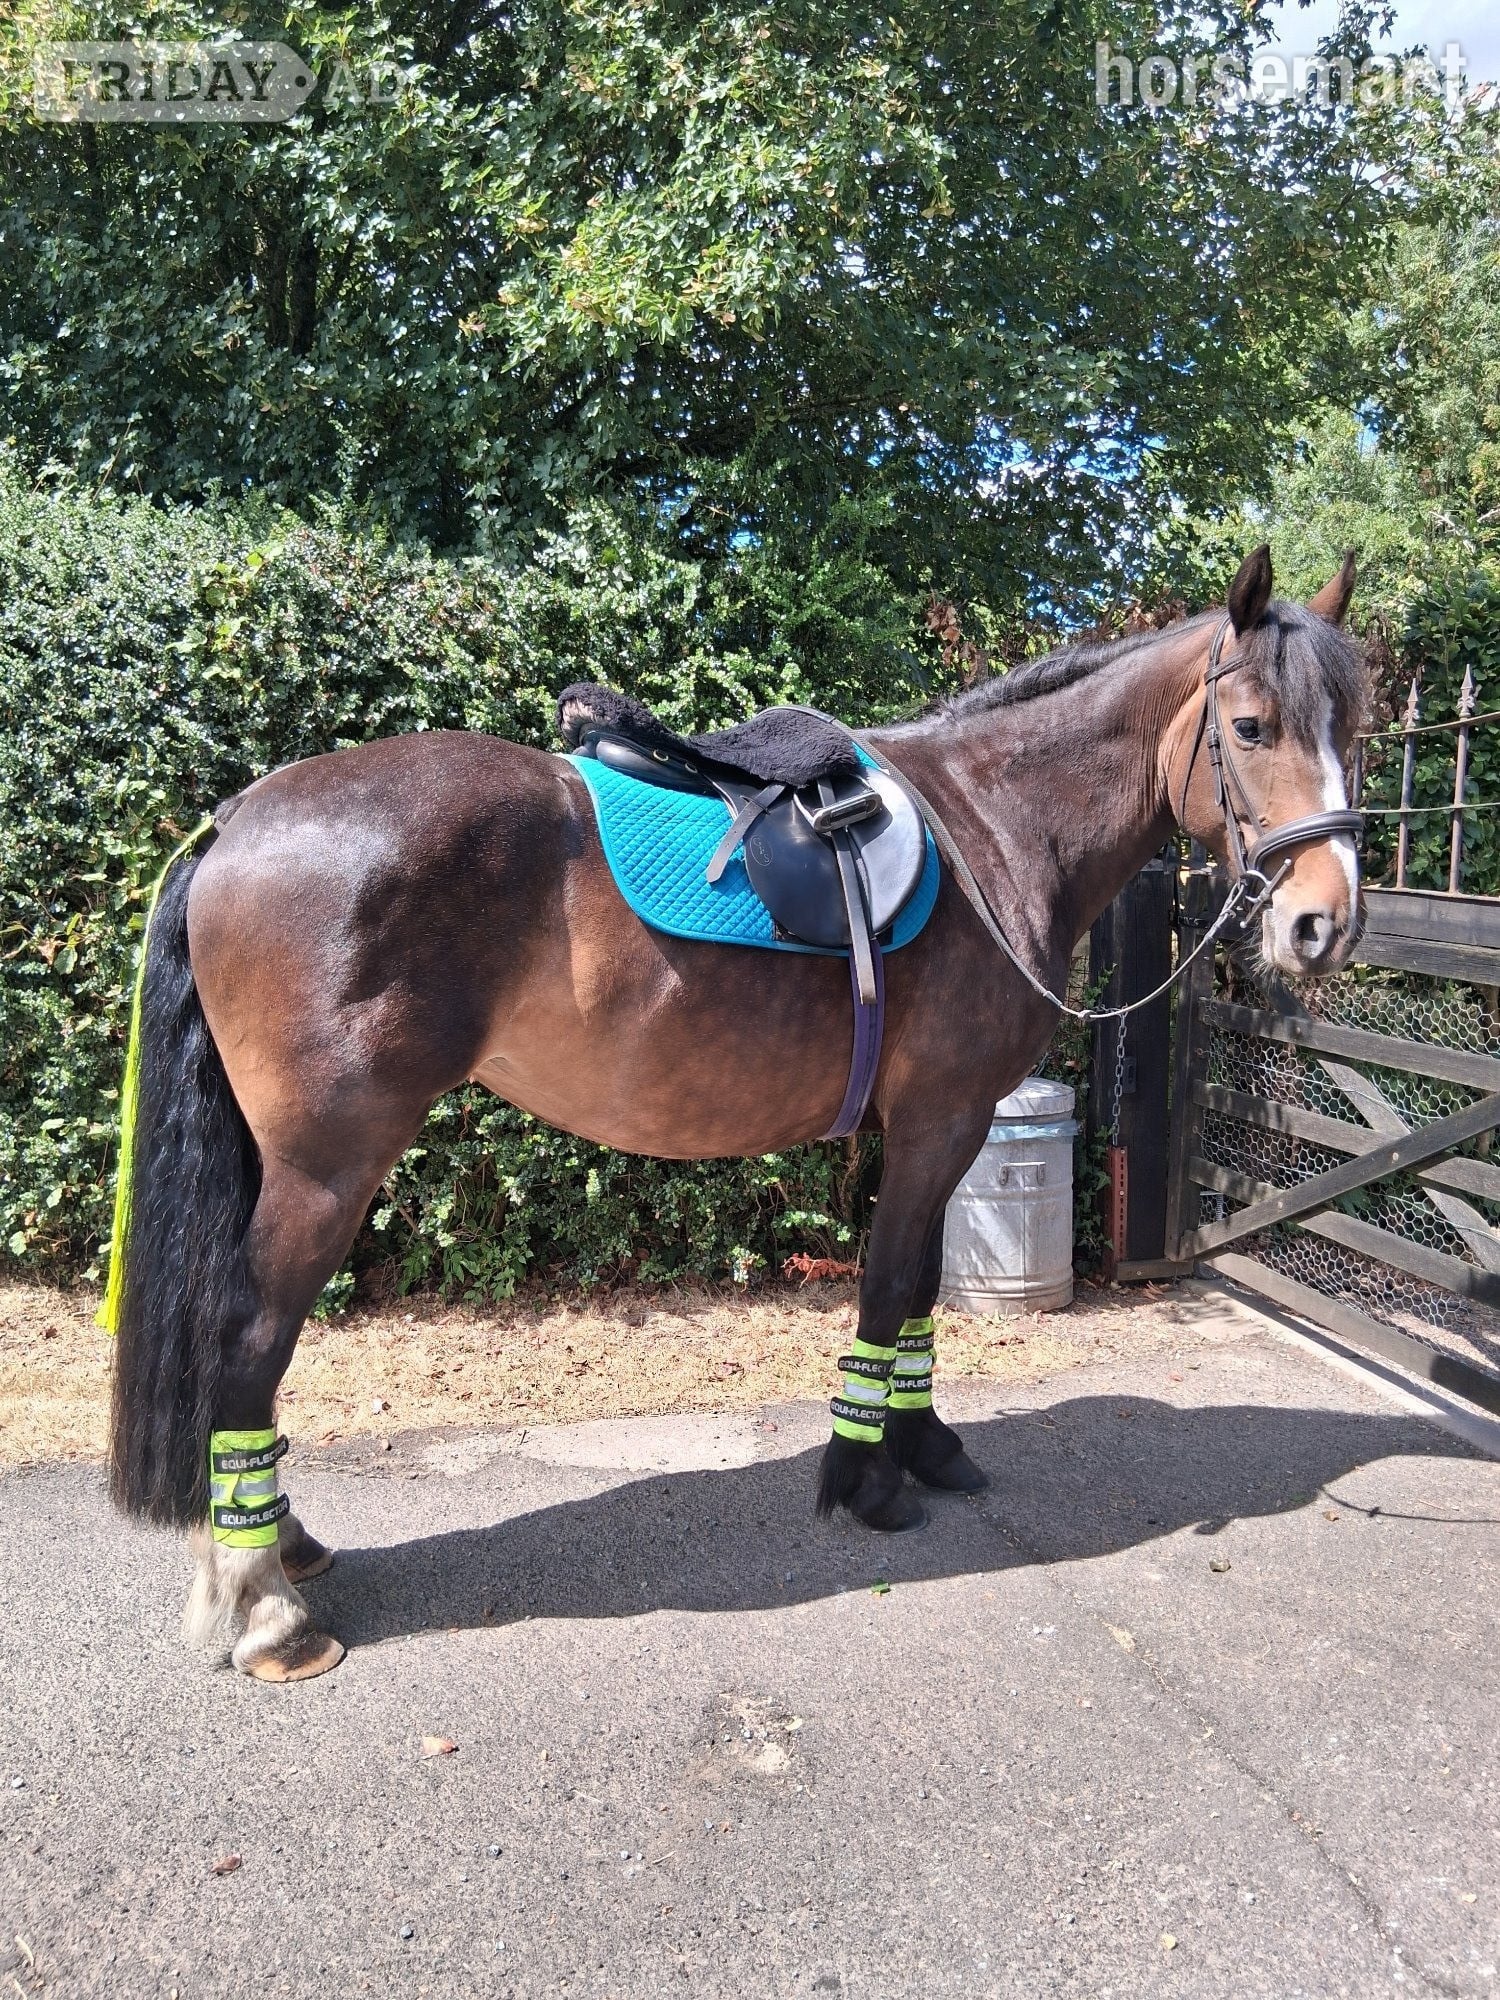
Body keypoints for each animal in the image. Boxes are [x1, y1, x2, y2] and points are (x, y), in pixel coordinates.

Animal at [106, 543, 1367, 1680]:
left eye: (1350, 725)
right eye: (1251, 726)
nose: (1326, 924)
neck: (994, 827)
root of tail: (236, 820)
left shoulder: (934, 1129)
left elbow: (916, 1294)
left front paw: (924, 1445)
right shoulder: (940, 1120)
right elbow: (892, 1286)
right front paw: (866, 1480)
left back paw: (284, 1545)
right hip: (328, 1165)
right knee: (248, 1338)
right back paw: (266, 1604)